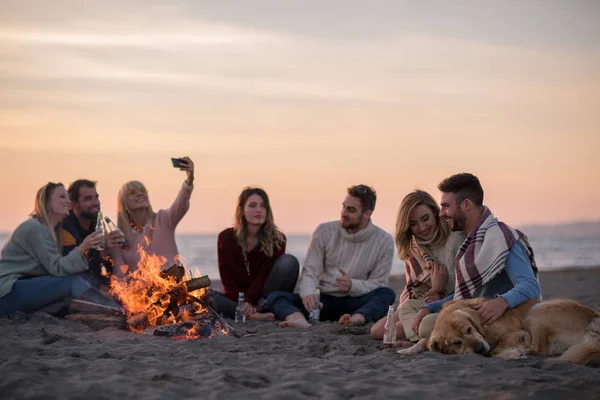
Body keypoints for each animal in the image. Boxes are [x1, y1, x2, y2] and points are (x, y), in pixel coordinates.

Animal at [398, 296, 600, 366]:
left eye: (469, 329)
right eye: (456, 342)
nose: (479, 349)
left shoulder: (516, 333)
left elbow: (497, 348)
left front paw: (511, 352)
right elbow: (425, 341)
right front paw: (408, 349)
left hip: (539, 310)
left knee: (538, 349)